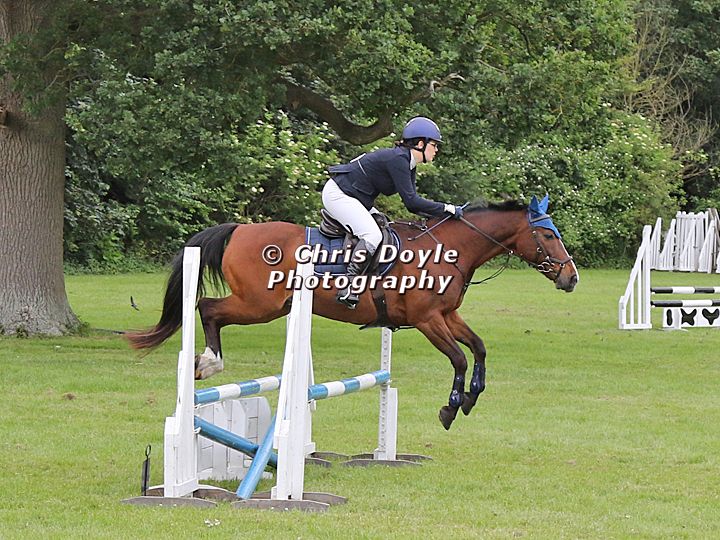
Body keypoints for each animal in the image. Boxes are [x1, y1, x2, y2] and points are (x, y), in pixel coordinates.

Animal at [127, 195, 578, 430]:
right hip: (260, 305)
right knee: (207, 307)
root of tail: (240, 229)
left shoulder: (447, 316)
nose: (571, 278)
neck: (449, 250)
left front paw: (470, 399)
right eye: (547, 235)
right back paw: (208, 362)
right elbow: (459, 358)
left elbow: (479, 349)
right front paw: (451, 407)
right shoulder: (428, 321)